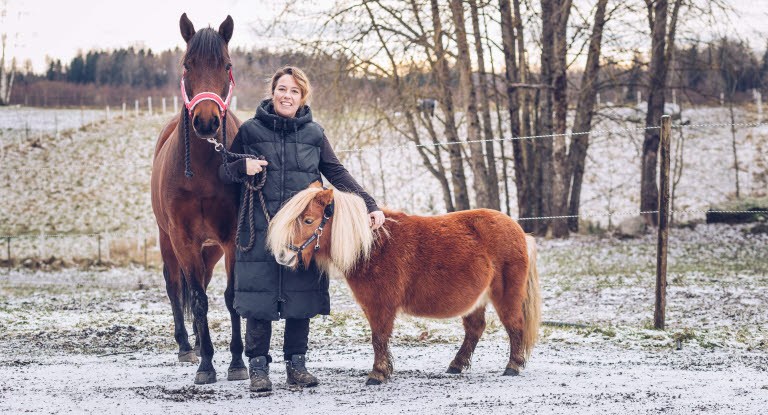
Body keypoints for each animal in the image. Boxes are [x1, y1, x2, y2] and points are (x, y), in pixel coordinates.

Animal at [150, 13, 246, 386]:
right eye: (187, 65)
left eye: (227, 65)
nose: (206, 121)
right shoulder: (183, 239)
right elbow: (198, 299)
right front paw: (206, 364)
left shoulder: (231, 238)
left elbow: (231, 298)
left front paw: (237, 362)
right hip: (168, 240)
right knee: (177, 285)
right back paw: (186, 345)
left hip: (212, 248)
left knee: (199, 282)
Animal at [268, 184, 544, 386]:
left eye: (308, 220)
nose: (282, 255)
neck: (373, 247)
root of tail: (520, 231)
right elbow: (378, 339)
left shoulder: (381, 305)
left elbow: (378, 338)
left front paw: (378, 374)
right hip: (477, 300)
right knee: (475, 329)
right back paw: (456, 365)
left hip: (506, 295)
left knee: (515, 326)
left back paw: (513, 366)